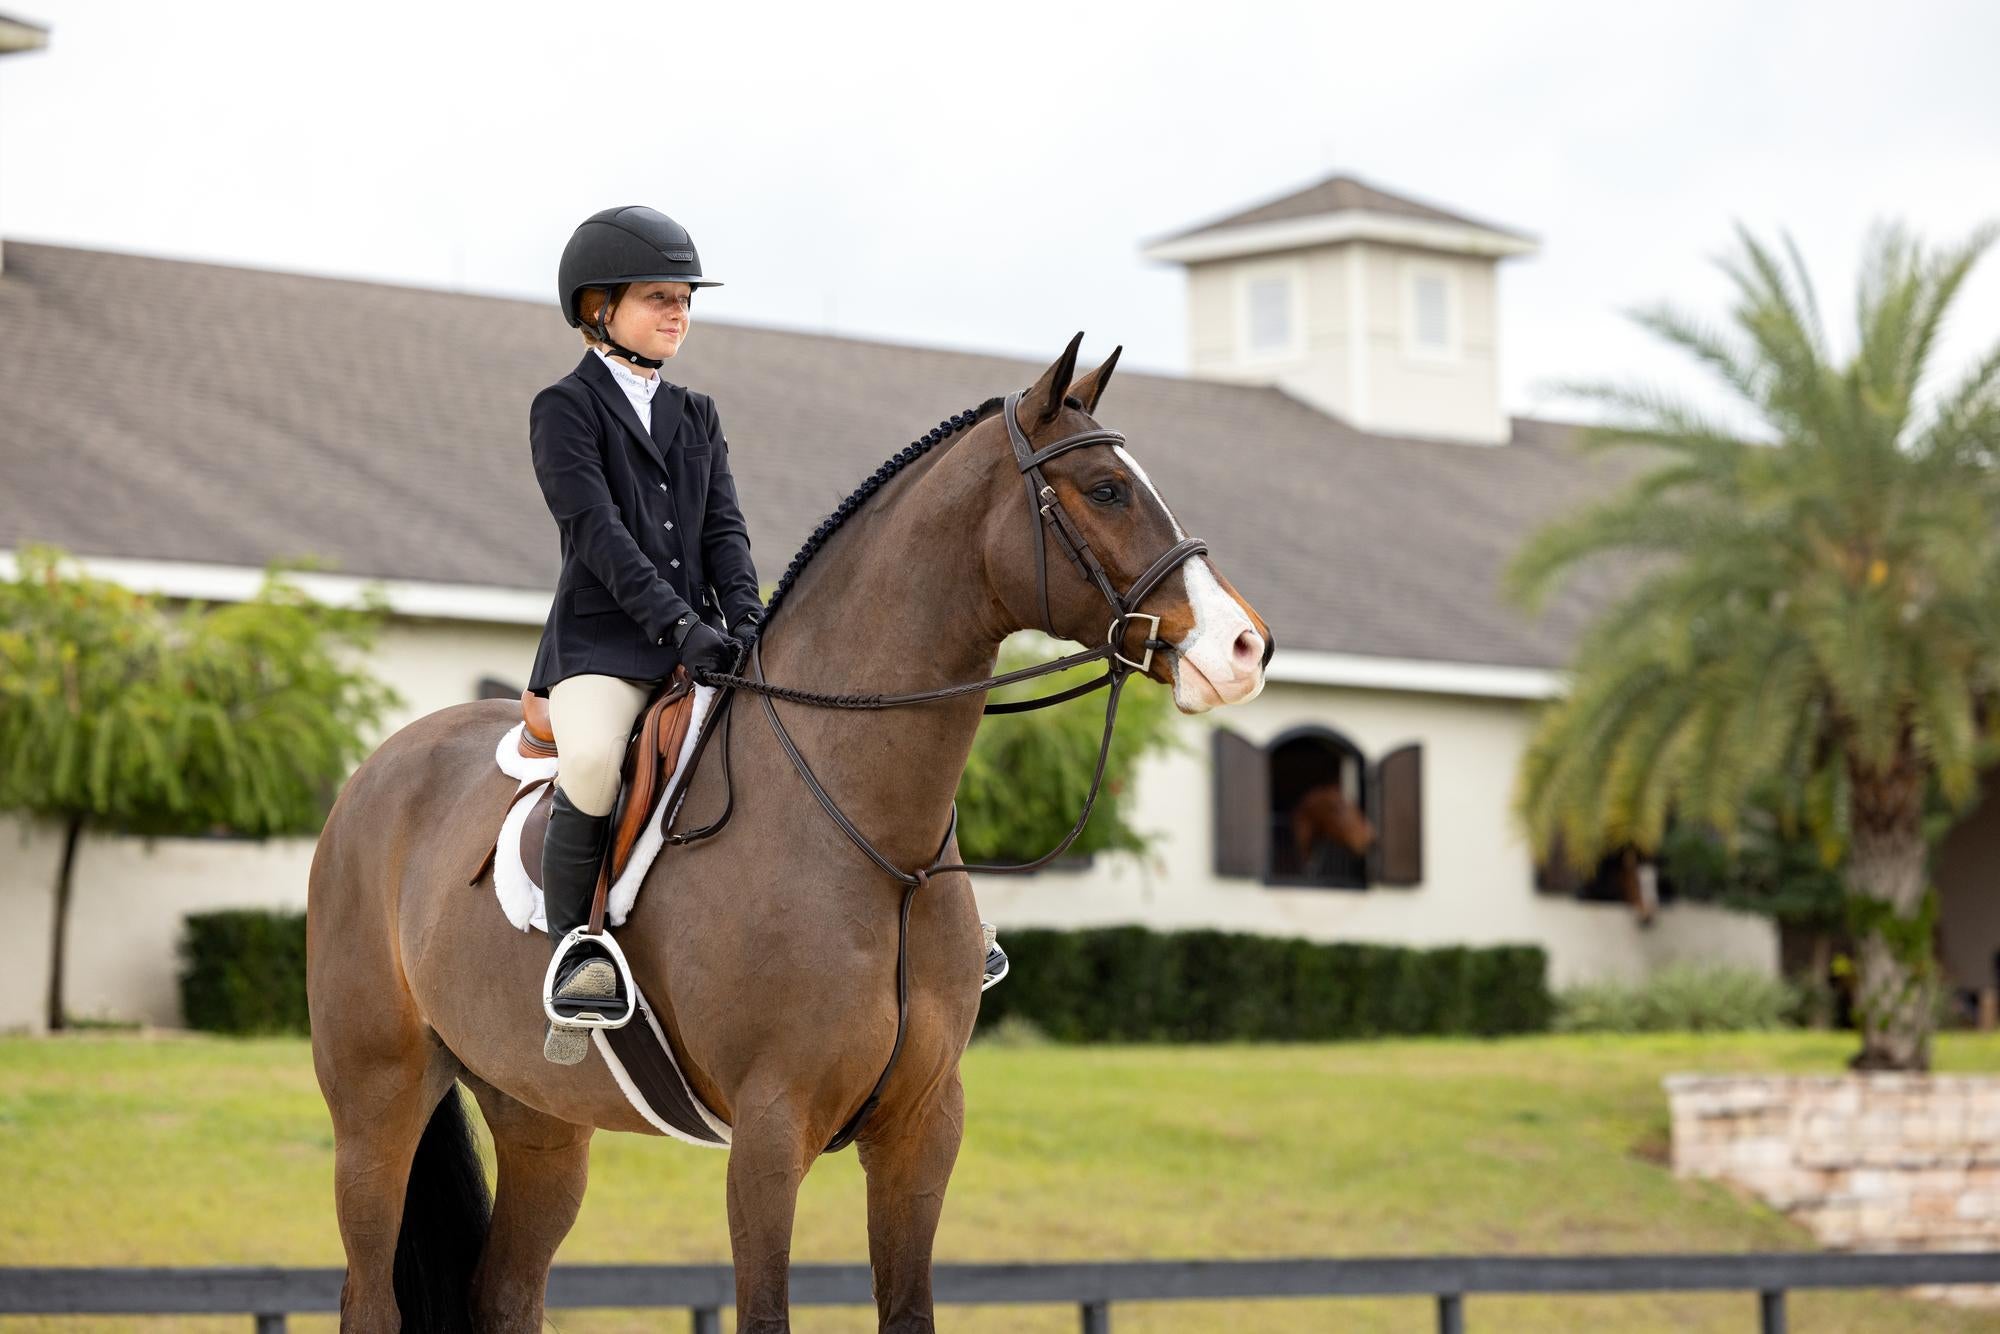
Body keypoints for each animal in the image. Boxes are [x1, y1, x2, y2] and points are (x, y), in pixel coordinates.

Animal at [305, 332, 1273, 1332]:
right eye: (1108, 490)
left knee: (503, 1290)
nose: (1245, 649)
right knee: (369, 1291)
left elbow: (909, 1309)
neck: (877, 842)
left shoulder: (923, 1128)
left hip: (540, 1116)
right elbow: (764, 1308)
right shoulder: (771, 1133)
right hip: (378, 1103)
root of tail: (377, 771)